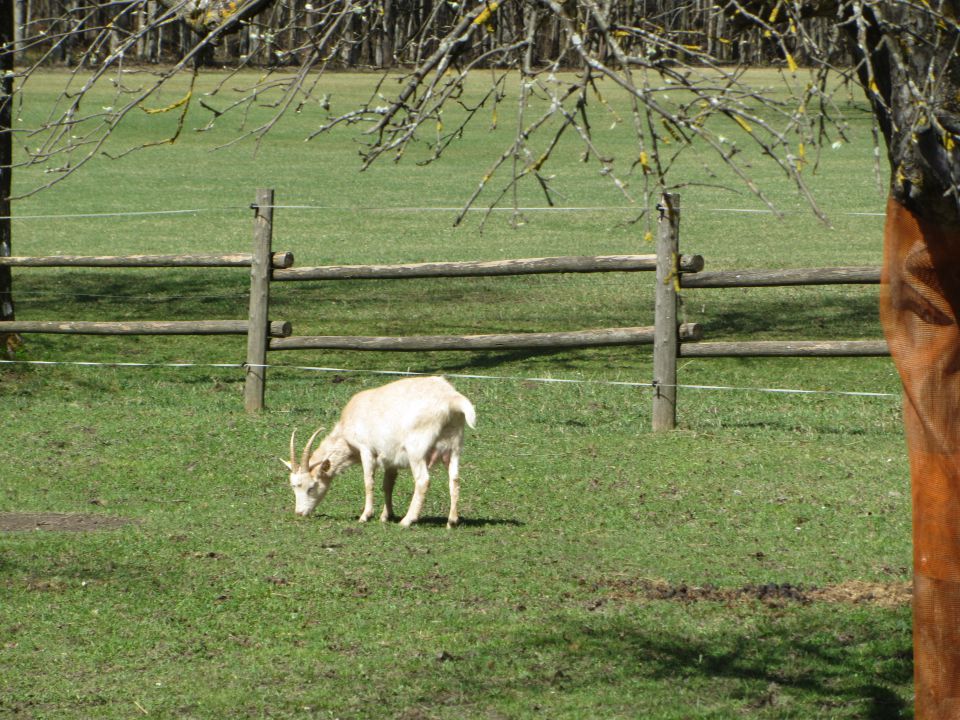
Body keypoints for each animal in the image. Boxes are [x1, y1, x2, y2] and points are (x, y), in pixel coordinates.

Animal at [284, 376, 478, 528]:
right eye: (294, 487)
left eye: (311, 487)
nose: (299, 513)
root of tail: (451, 399)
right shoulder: (390, 459)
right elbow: (388, 485)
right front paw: (386, 516)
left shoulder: (366, 449)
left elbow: (368, 482)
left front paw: (365, 516)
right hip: (453, 447)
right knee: (455, 479)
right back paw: (452, 521)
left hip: (416, 450)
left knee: (423, 480)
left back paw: (407, 520)